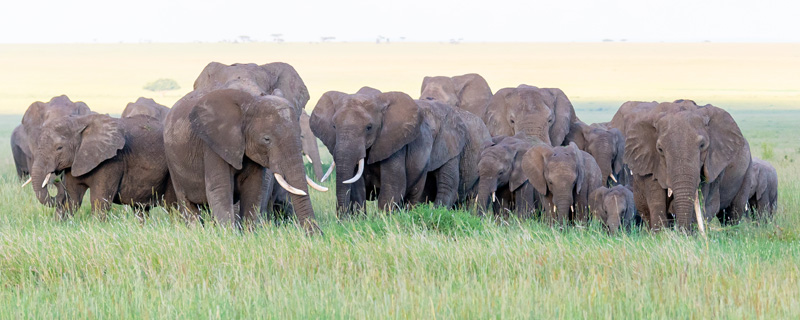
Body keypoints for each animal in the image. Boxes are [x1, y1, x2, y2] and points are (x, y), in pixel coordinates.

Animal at [32, 113, 175, 220]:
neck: (79, 121)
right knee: (141, 209)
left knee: (172, 206)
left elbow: (99, 201)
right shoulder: (76, 160)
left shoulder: (112, 161)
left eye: (59, 148)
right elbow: (72, 200)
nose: (56, 179)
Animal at [164, 88, 320, 232]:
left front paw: (249, 234)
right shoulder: (213, 145)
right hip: (173, 164)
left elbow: (254, 189)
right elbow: (220, 189)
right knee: (187, 204)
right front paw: (229, 236)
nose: (317, 235)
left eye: (300, 135)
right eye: (266, 139)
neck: (250, 103)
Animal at [310, 89, 488, 215]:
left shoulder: (448, 147)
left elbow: (394, 187)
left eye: (369, 127)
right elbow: (357, 188)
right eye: (334, 126)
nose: (341, 220)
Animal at [620, 101, 752, 231]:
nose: (683, 231)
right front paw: (661, 235)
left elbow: (704, 199)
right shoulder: (651, 162)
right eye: (660, 149)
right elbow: (656, 201)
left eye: (702, 145)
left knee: (733, 213)